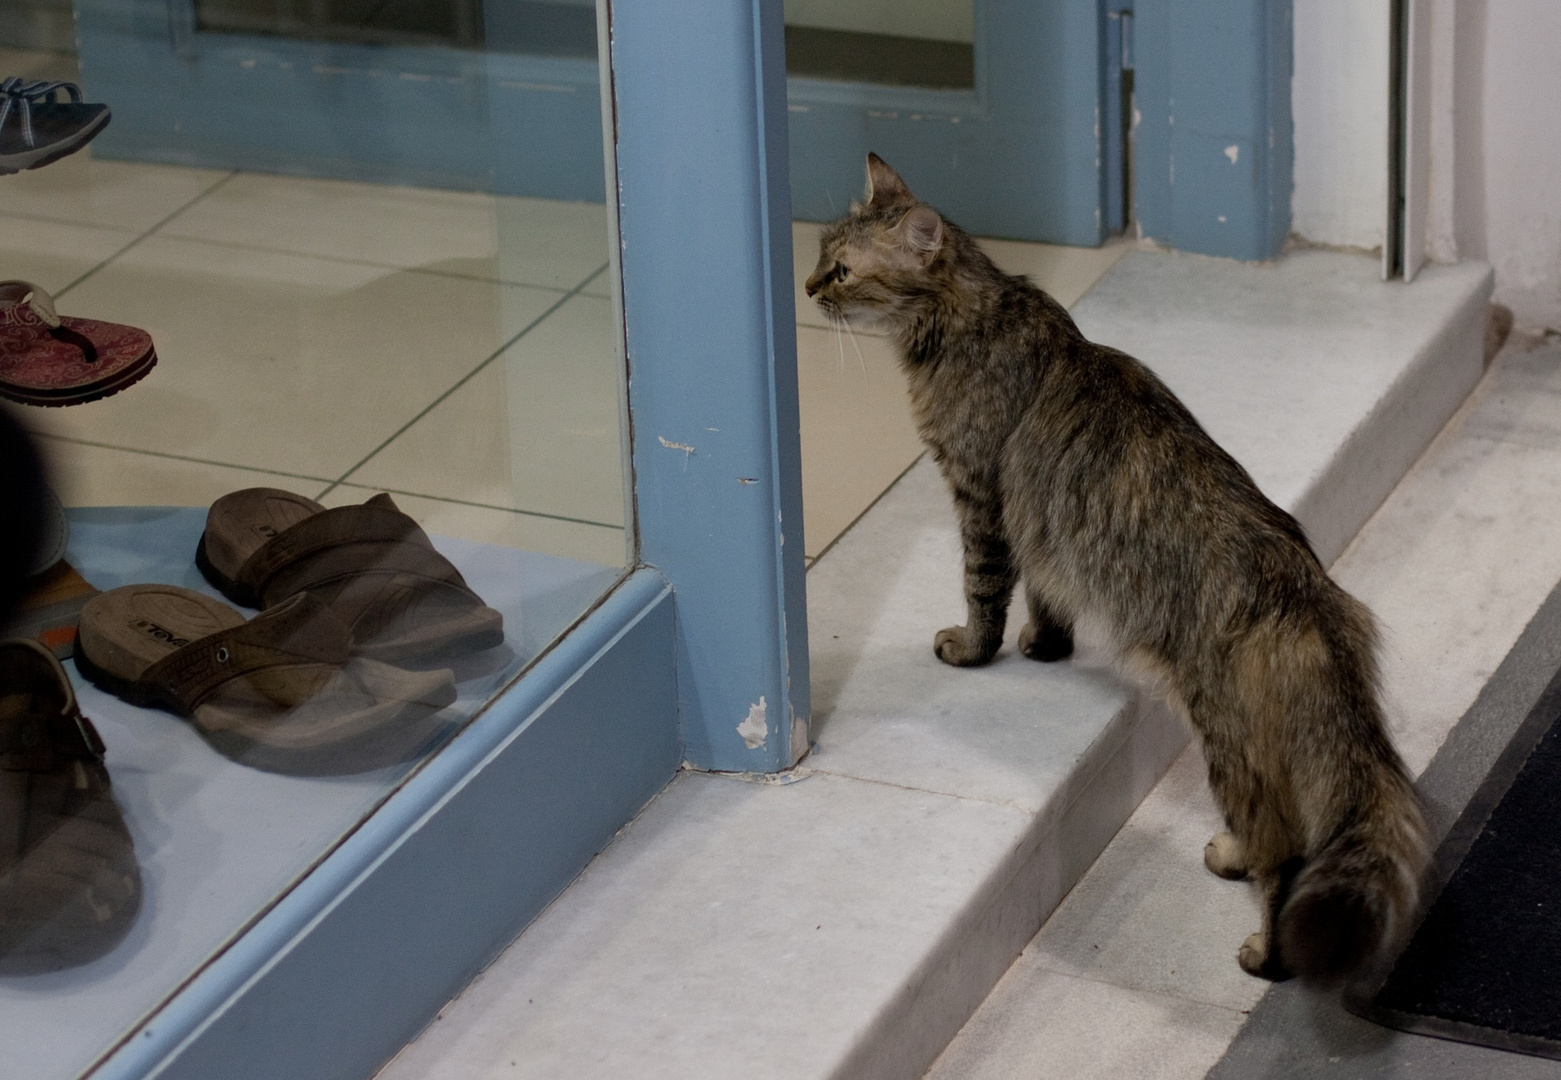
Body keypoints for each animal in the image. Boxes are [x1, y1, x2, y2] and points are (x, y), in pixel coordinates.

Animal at [811, 153, 1429, 986]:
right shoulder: (1040, 528)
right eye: (822, 252)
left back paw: (1262, 951)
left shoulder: (979, 496)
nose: (806, 286)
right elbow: (1047, 592)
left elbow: (984, 591)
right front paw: (1045, 645)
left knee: (1284, 858)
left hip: (1226, 746)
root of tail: (1308, 598)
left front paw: (973, 651)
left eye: (843, 271)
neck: (975, 313)